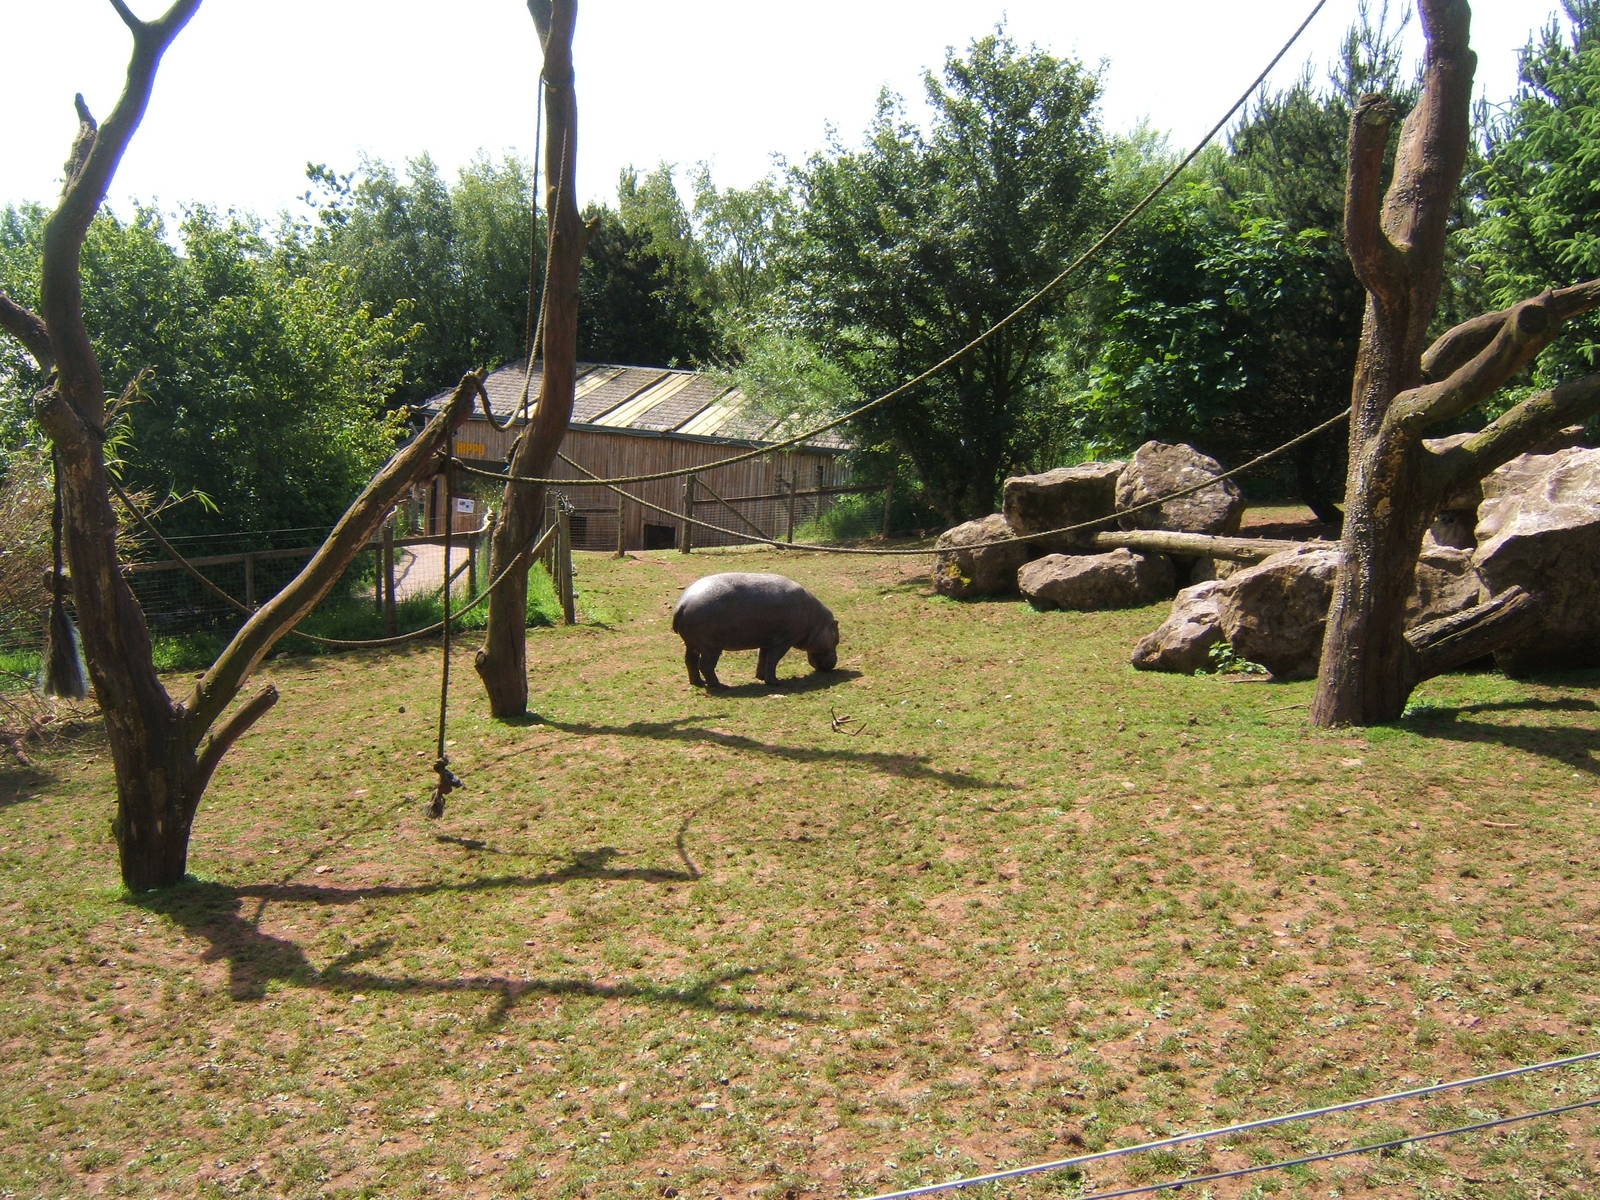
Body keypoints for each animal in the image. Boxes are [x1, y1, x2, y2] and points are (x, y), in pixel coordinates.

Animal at [671, 572, 841, 688]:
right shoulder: (783, 642)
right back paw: (720, 686)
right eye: (837, 640)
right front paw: (776, 682)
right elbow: (773, 660)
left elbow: (763, 659)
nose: (833, 664)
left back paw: (698, 683)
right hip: (711, 647)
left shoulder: (766, 641)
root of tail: (683, 604)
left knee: (690, 661)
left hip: (692, 644)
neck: (816, 622)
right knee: (705, 666)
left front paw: (760, 677)